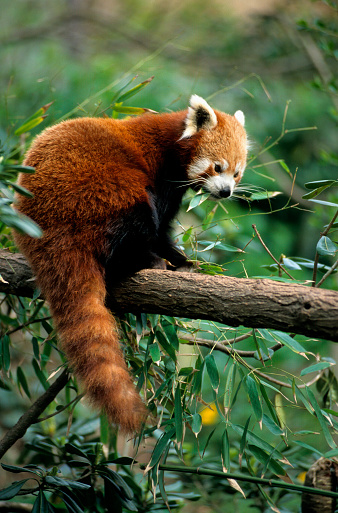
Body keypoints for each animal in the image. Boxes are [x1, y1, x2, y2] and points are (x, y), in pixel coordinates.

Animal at [13, 95, 248, 432]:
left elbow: (163, 230)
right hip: (104, 190)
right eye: (218, 167)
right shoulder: (160, 176)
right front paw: (175, 259)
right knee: (132, 222)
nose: (226, 191)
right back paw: (146, 261)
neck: (171, 144)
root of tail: (51, 224)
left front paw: (185, 261)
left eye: (237, 173)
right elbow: (158, 228)